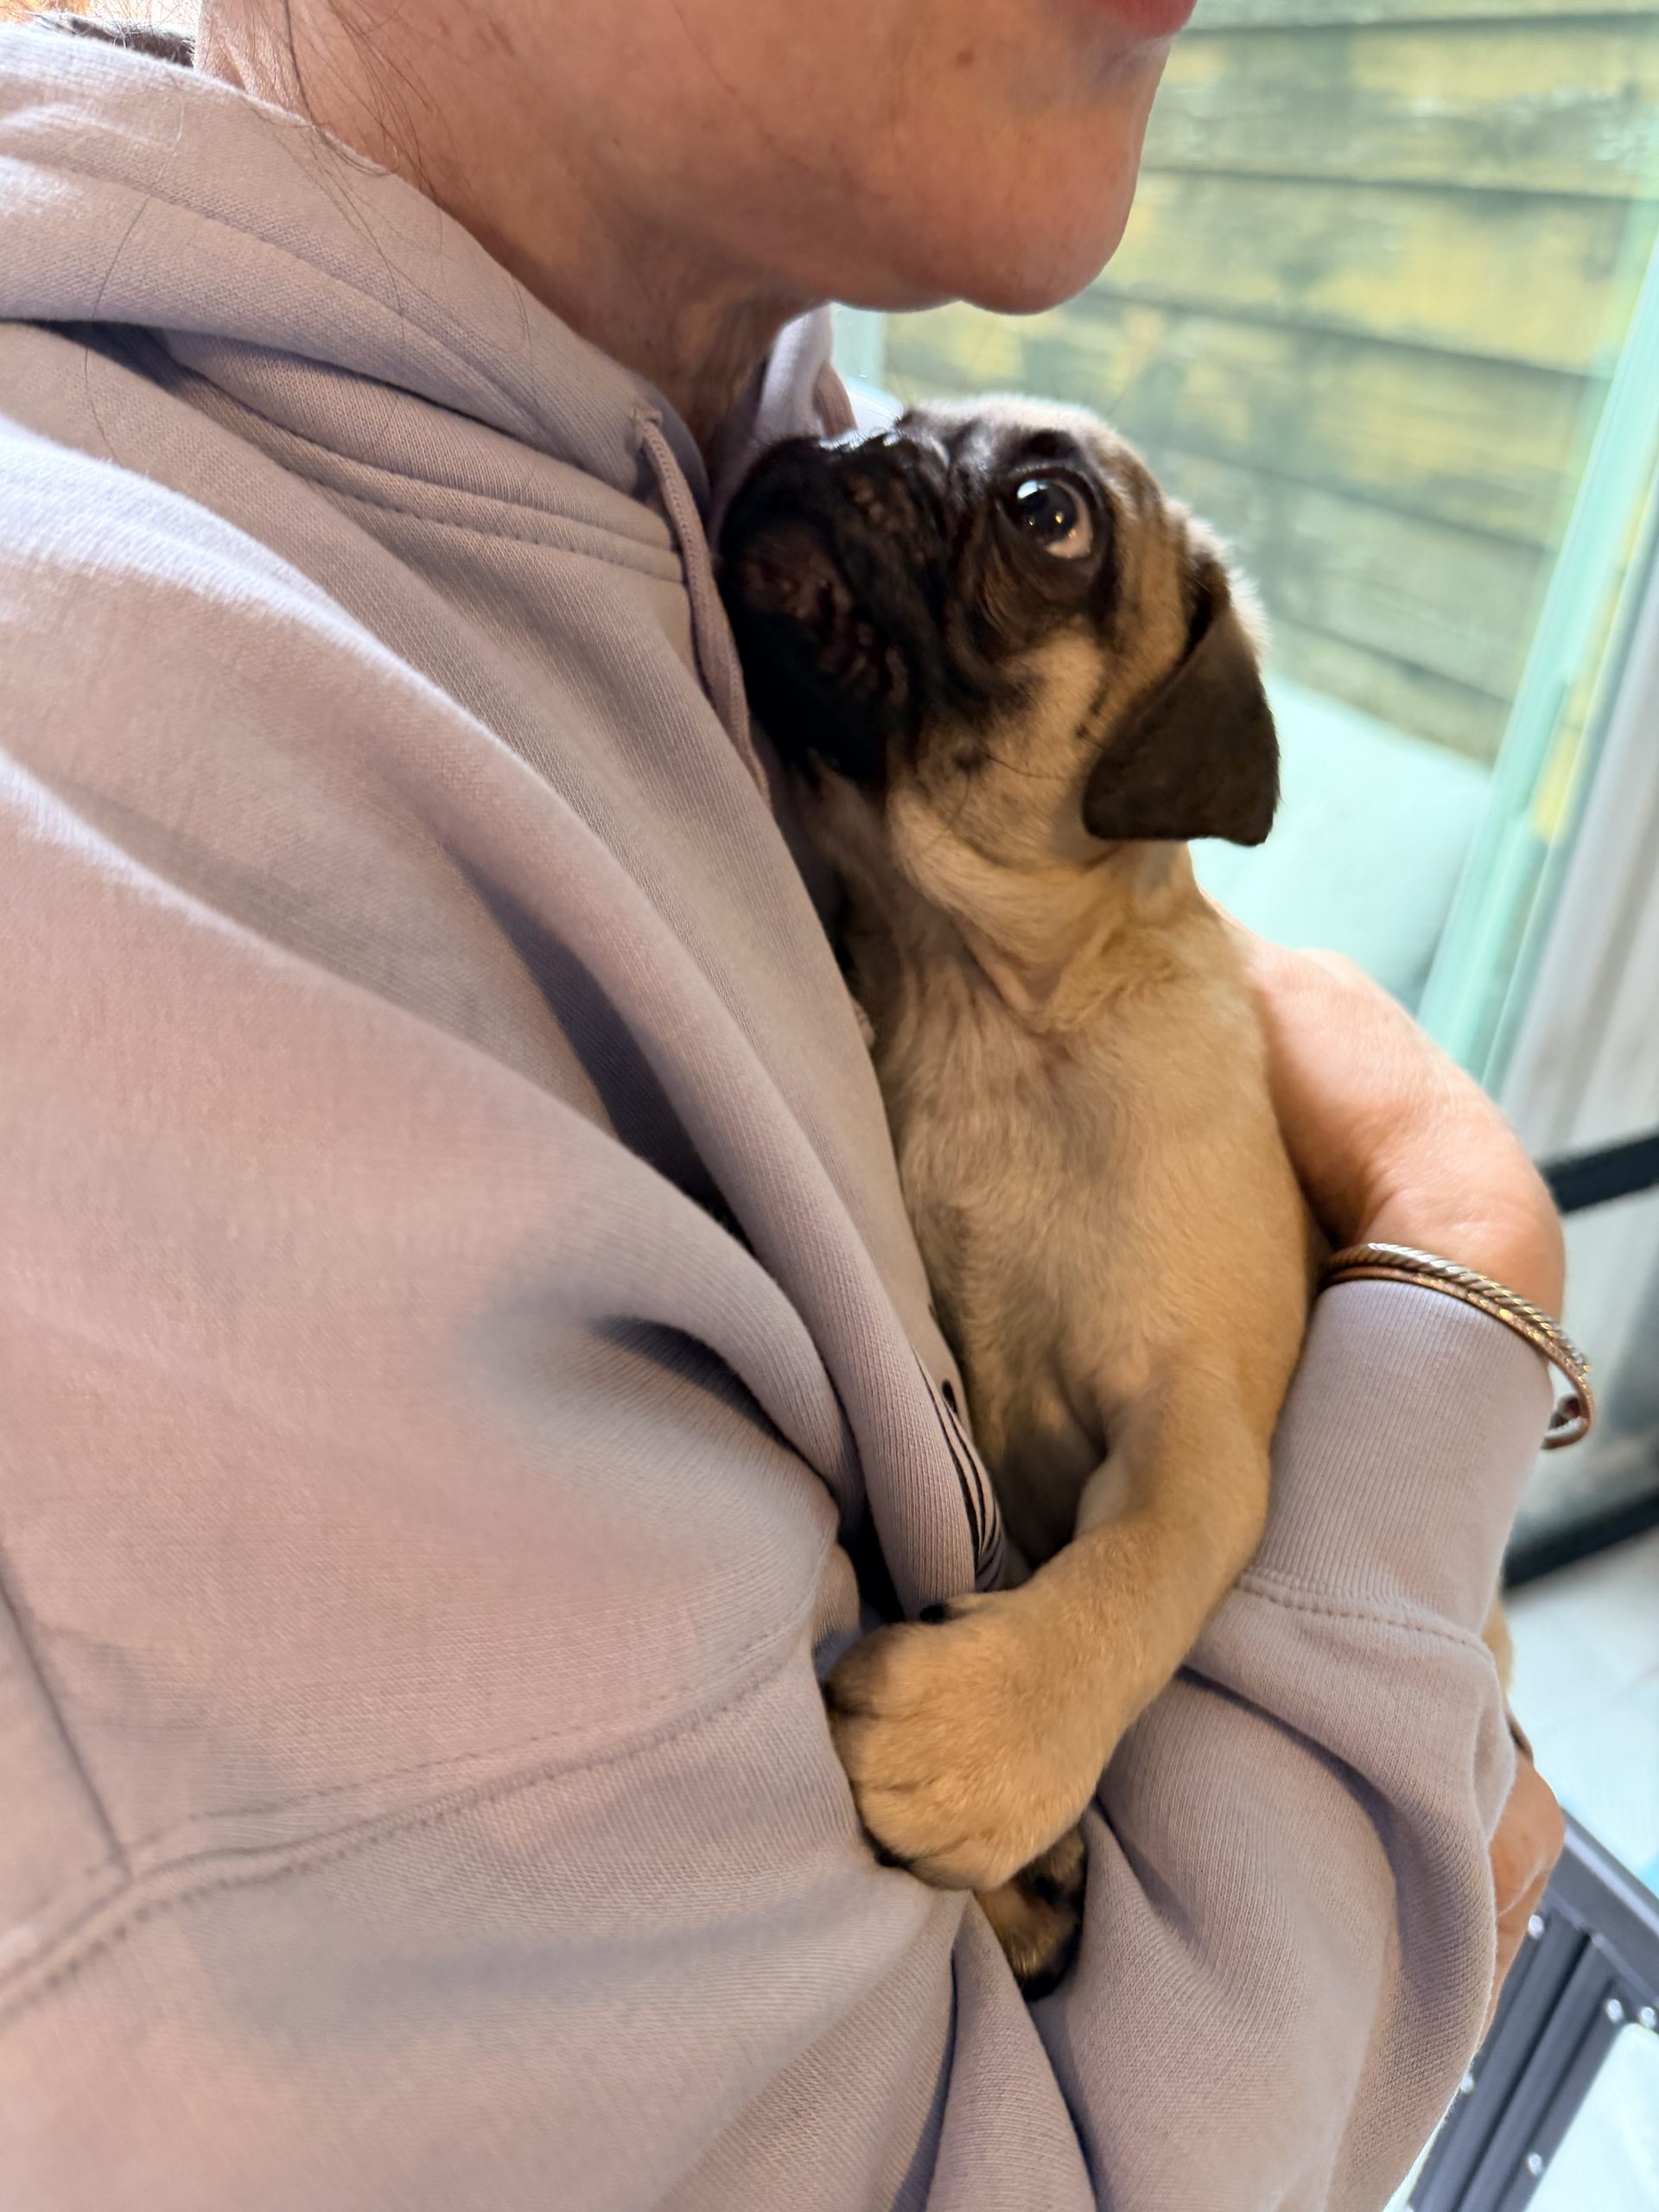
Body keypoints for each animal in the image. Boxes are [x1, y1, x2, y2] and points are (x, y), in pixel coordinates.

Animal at [720, 398, 1314, 1992]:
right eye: (882, 419)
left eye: (1050, 513)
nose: (835, 441)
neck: (984, 1007)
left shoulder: (1198, 1431)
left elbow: (1138, 1572)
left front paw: (980, 1741)